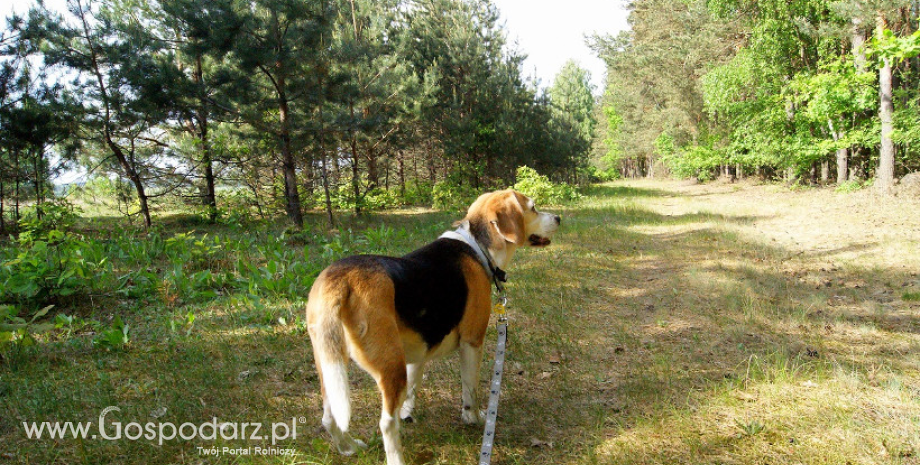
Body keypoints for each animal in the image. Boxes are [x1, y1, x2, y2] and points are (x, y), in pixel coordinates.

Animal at [308, 189, 560, 464]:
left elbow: (412, 389)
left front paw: (408, 413)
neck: (477, 247)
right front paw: (474, 418)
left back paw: (349, 447)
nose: (558, 218)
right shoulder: (472, 341)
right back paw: (395, 457)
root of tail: (340, 278)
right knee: (386, 423)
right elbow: (470, 391)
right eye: (533, 208)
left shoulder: (419, 352)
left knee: (329, 418)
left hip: (331, 367)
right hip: (390, 367)